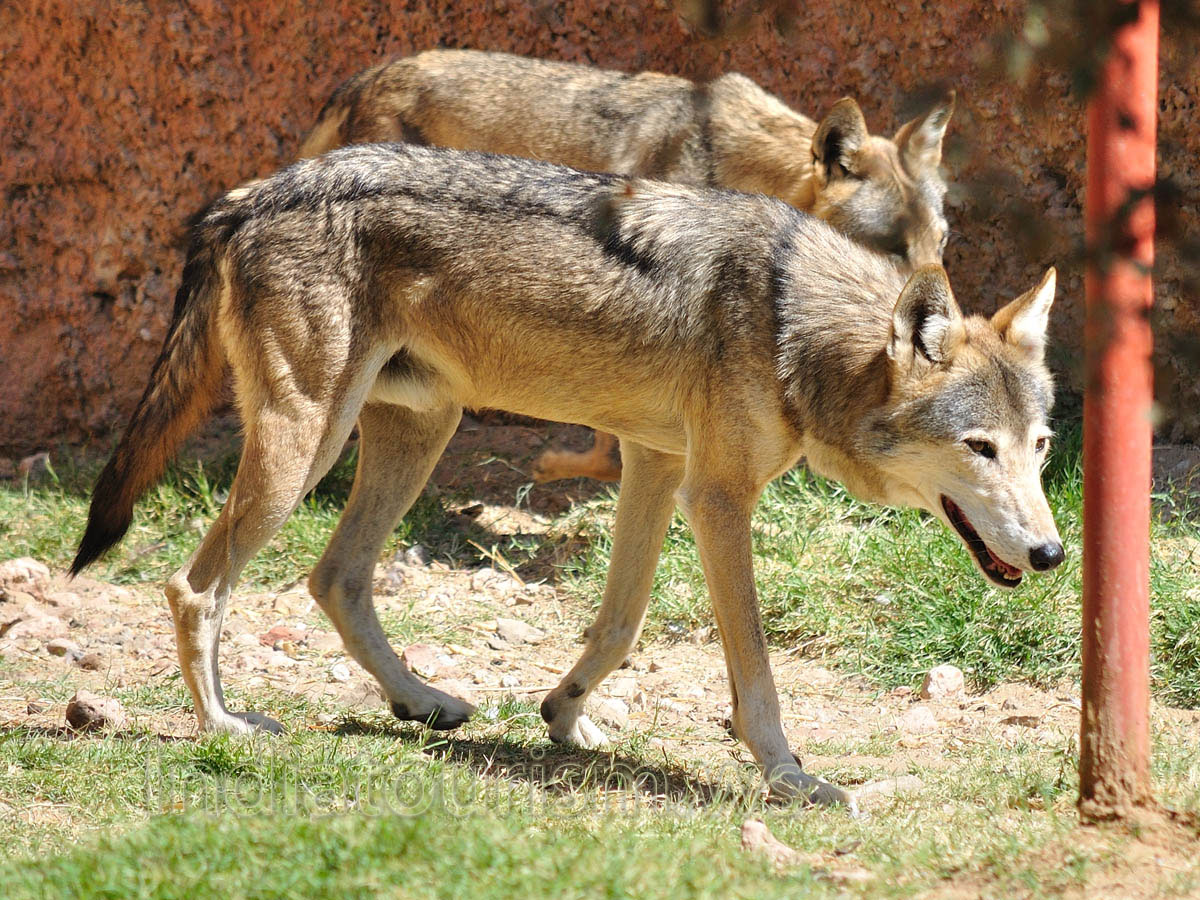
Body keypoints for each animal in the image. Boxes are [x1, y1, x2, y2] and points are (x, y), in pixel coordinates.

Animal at [72, 145, 1063, 805]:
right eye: (981, 448)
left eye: (1042, 447)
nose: (1052, 554)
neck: (792, 320)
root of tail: (246, 194)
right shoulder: (718, 497)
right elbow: (755, 673)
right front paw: (790, 776)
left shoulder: (657, 466)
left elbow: (622, 621)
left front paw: (565, 714)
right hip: (303, 446)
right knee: (195, 585)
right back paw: (223, 726)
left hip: (414, 434)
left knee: (334, 576)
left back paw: (419, 701)